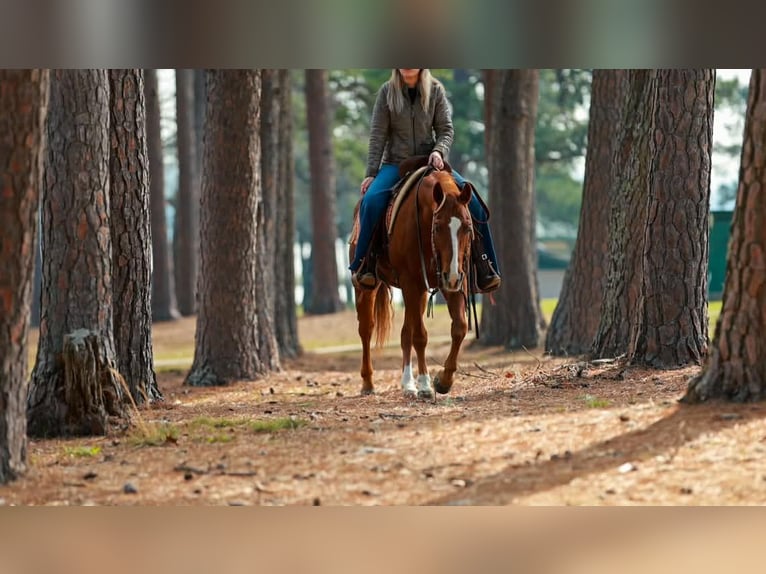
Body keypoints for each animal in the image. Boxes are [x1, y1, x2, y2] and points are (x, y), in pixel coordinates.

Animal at [349, 158, 474, 399]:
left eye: (467, 226)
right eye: (438, 226)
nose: (453, 276)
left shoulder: (450, 281)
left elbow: (460, 328)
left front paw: (443, 381)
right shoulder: (411, 282)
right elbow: (421, 336)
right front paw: (425, 385)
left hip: (422, 291)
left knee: (405, 331)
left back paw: (407, 383)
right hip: (367, 287)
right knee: (366, 329)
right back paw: (368, 383)